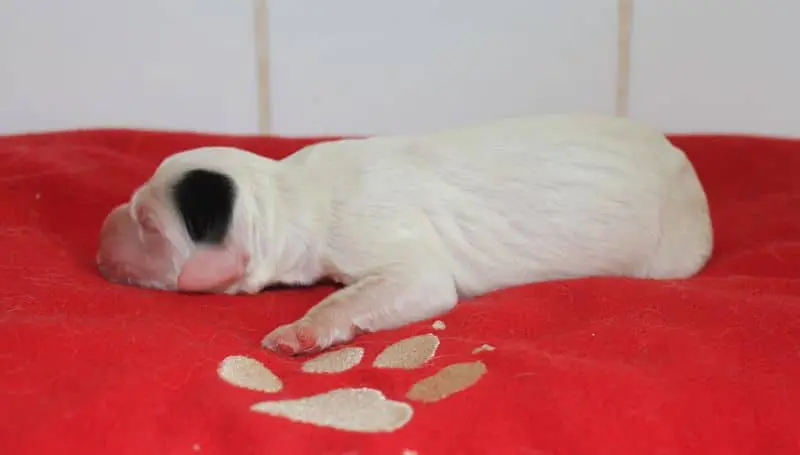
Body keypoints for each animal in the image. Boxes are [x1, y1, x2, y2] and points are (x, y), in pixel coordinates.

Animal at [96, 113, 714, 355]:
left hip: (671, 253)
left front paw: (300, 331)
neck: (289, 194)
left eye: (149, 225)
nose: (102, 233)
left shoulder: (402, 258)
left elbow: (384, 289)